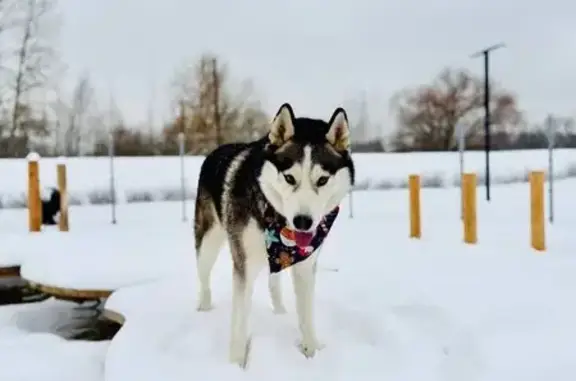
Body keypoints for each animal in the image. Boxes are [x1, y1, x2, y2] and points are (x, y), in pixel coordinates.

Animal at [196, 102, 354, 366]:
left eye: (322, 180)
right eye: (289, 177)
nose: (303, 222)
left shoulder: (305, 263)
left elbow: (306, 315)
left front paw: (312, 353)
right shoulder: (244, 265)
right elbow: (239, 323)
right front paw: (235, 364)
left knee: (274, 280)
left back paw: (279, 311)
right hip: (207, 242)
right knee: (204, 277)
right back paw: (204, 309)